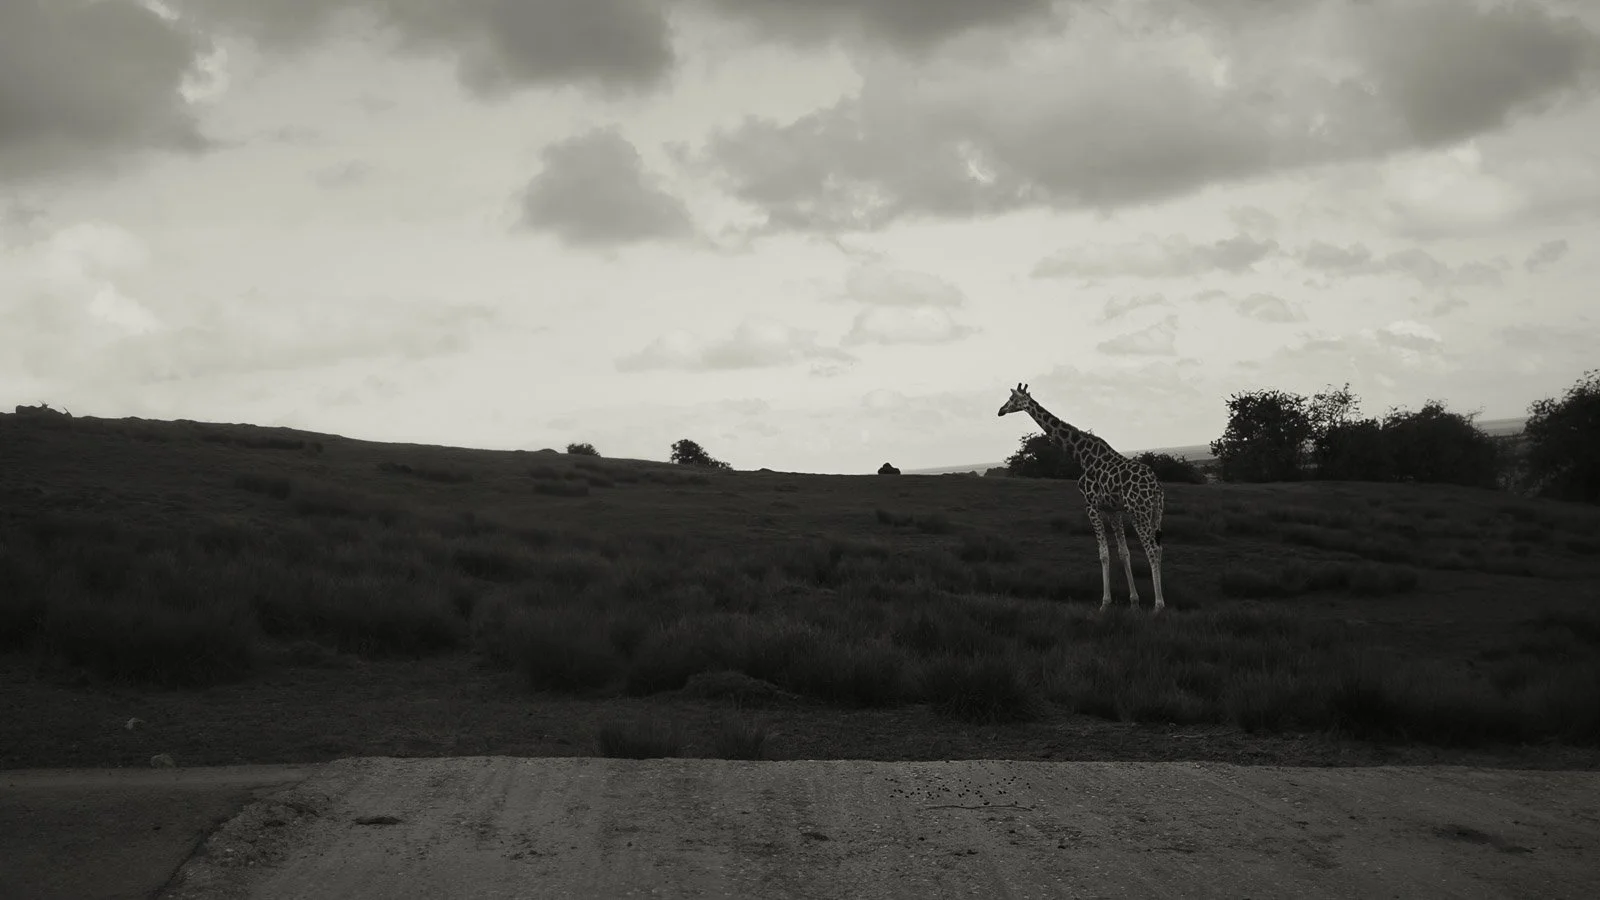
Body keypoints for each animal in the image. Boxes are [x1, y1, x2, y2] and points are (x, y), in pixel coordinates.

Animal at [998, 383, 1166, 613]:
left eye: (1011, 399)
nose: (1000, 410)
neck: (1082, 456)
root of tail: (1156, 487)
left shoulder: (1091, 505)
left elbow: (1103, 554)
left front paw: (1105, 603)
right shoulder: (1112, 509)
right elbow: (1123, 553)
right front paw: (1134, 602)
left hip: (1139, 511)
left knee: (1152, 550)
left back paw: (1158, 606)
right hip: (1155, 513)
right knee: (1159, 548)